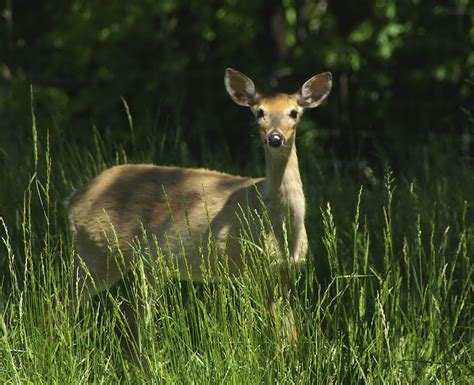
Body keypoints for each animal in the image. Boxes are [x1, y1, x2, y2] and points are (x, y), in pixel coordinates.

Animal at [66, 67, 332, 352]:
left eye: (294, 112)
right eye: (259, 112)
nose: (274, 138)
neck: (280, 225)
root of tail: (73, 198)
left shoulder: (288, 271)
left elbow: (291, 332)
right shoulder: (254, 264)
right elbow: (276, 332)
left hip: (142, 265)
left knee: (130, 319)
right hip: (96, 251)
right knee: (62, 305)